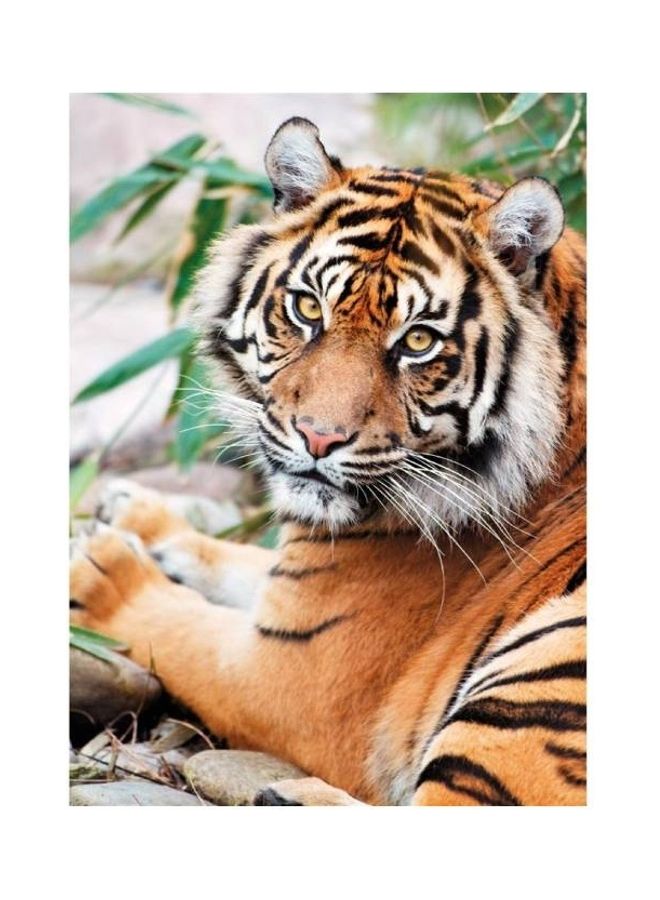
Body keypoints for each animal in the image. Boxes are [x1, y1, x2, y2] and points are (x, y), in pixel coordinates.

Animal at [70, 117, 586, 806]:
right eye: (308, 308)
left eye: (417, 341)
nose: (318, 438)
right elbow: (244, 563)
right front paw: (137, 515)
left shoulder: (288, 673)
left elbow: (181, 629)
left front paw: (104, 571)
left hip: (543, 672)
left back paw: (288, 796)